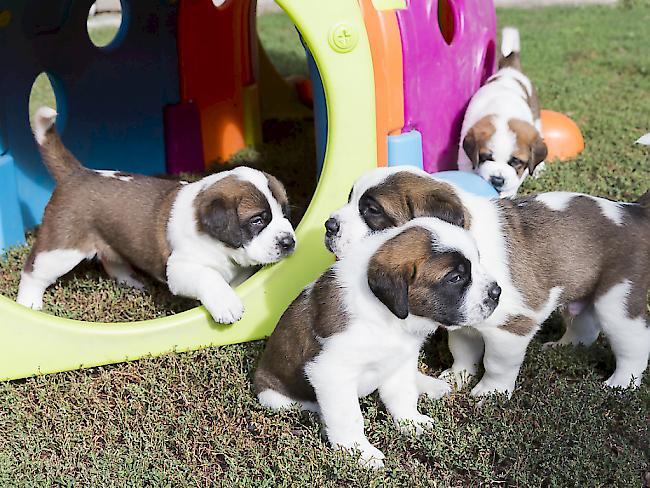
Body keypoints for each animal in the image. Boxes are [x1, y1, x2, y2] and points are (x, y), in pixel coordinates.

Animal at [17, 108, 296, 326]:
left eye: (285, 213)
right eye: (257, 220)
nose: (289, 242)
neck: (223, 248)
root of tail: (78, 173)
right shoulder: (180, 268)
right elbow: (208, 276)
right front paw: (226, 304)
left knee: (112, 260)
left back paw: (131, 281)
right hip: (61, 247)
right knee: (34, 270)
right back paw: (28, 303)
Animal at [254, 218, 502, 468]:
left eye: (478, 261)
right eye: (455, 278)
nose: (496, 292)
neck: (388, 318)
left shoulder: (400, 361)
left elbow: (403, 394)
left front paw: (411, 422)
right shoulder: (331, 373)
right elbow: (350, 417)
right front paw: (359, 452)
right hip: (274, 397)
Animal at [324, 166, 648, 394]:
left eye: (372, 211)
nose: (328, 225)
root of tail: (632, 211)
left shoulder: (511, 325)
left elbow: (497, 363)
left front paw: (489, 392)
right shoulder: (464, 315)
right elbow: (463, 350)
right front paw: (457, 376)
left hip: (618, 300)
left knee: (633, 344)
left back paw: (621, 384)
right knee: (585, 324)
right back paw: (565, 346)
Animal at [456, 26, 548, 197]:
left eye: (516, 161)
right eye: (486, 157)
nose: (497, 180)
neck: (503, 113)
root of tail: (510, 69)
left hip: (537, 119)